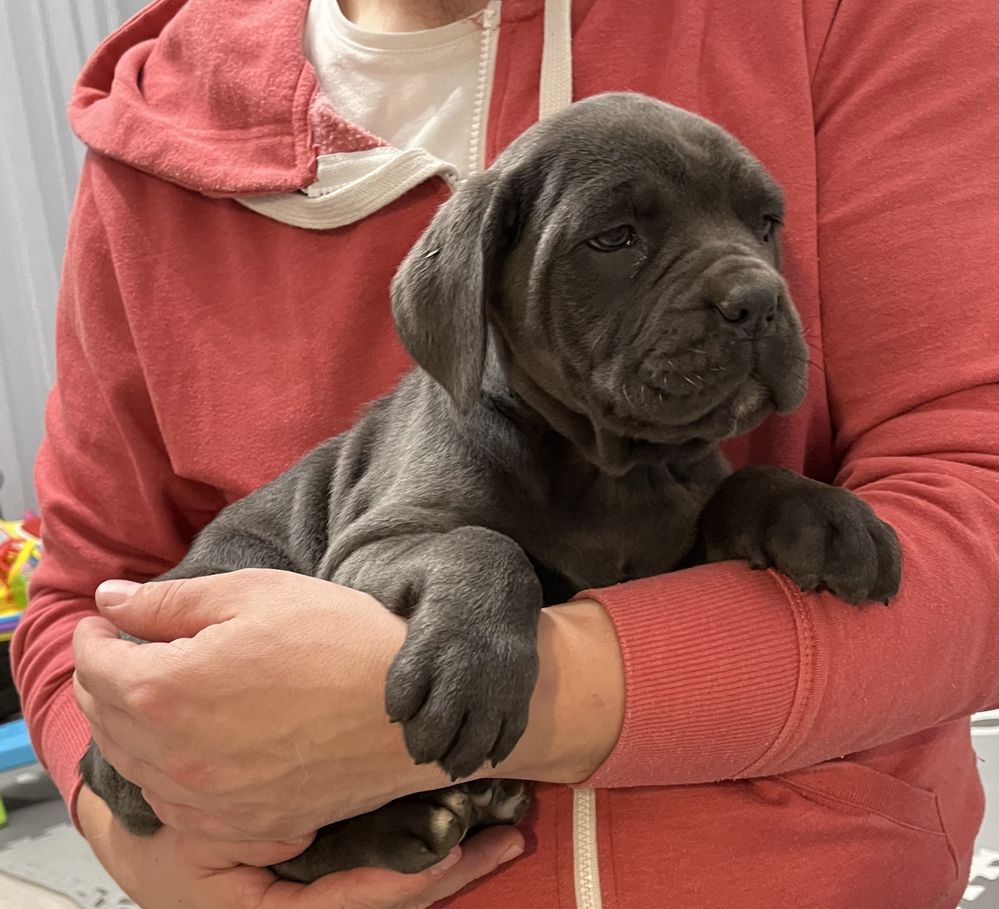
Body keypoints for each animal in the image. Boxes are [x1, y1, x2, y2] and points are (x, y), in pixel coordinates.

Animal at [82, 94, 904, 880]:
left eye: (765, 223)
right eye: (614, 239)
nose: (758, 299)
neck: (608, 469)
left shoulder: (674, 554)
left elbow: (742, 487)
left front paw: (825, 515)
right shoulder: (368, 547)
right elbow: (482, 544)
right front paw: (471, 670)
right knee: (285, 848)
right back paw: (415, 822)